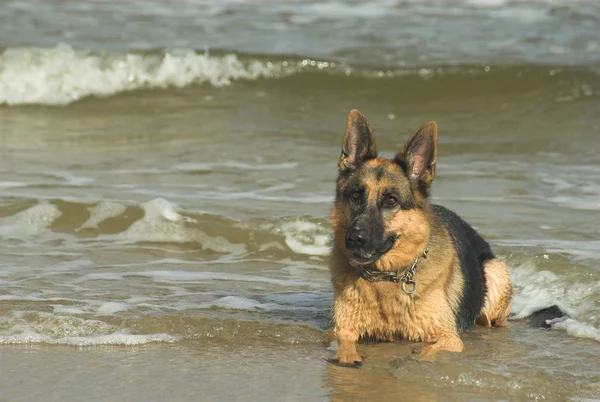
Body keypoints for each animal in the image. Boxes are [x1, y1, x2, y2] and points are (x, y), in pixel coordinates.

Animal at [330, 110, 512, 368]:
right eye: (356, 195)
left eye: (391, 200)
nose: (355, 239)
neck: (386, 276)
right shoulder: (341, 329)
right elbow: (343, 342)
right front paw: (348, 356)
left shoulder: (449, 339)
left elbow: (426, 353)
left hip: (496, 271)